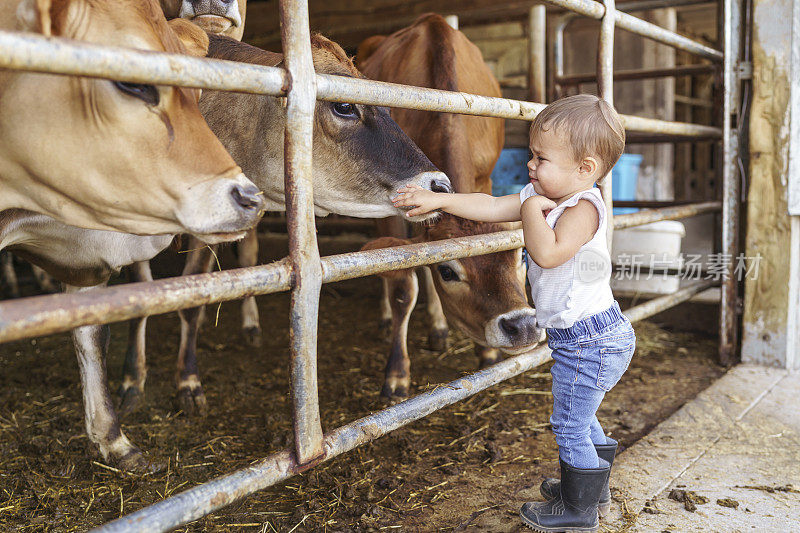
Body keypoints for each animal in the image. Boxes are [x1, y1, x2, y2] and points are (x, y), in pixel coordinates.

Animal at [356, 13, 536, 400]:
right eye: (449, 273)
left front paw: (485, 353)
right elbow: (401, 283)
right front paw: (397, 374)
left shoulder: (484, 179)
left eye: (521, 256)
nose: (523, 326)